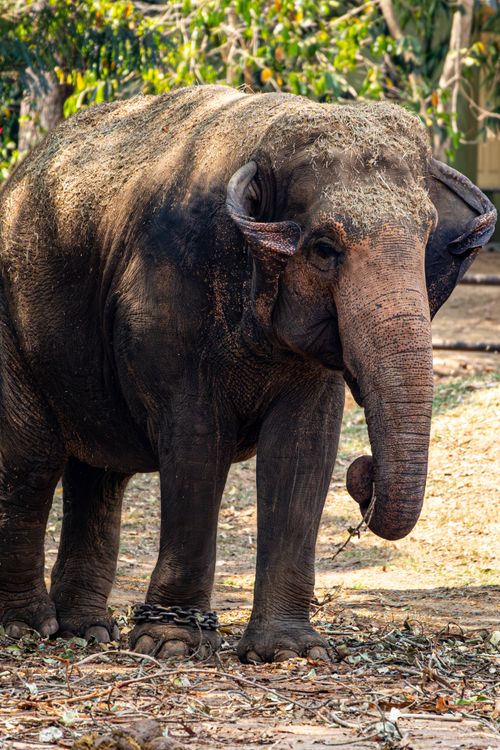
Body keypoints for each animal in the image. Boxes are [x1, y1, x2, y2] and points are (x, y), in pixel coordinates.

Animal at [0, 85, 496, 663]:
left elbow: (303, 449)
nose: (364, 476)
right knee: (33, 459)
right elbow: (196, 439)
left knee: (100, 473)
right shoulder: (166, 295)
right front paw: (173, 644)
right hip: (12, 321)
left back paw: (88, 632)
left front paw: (292, 652)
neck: (265, 136)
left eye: (427, 237)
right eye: (323, 249)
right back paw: (27, 628)